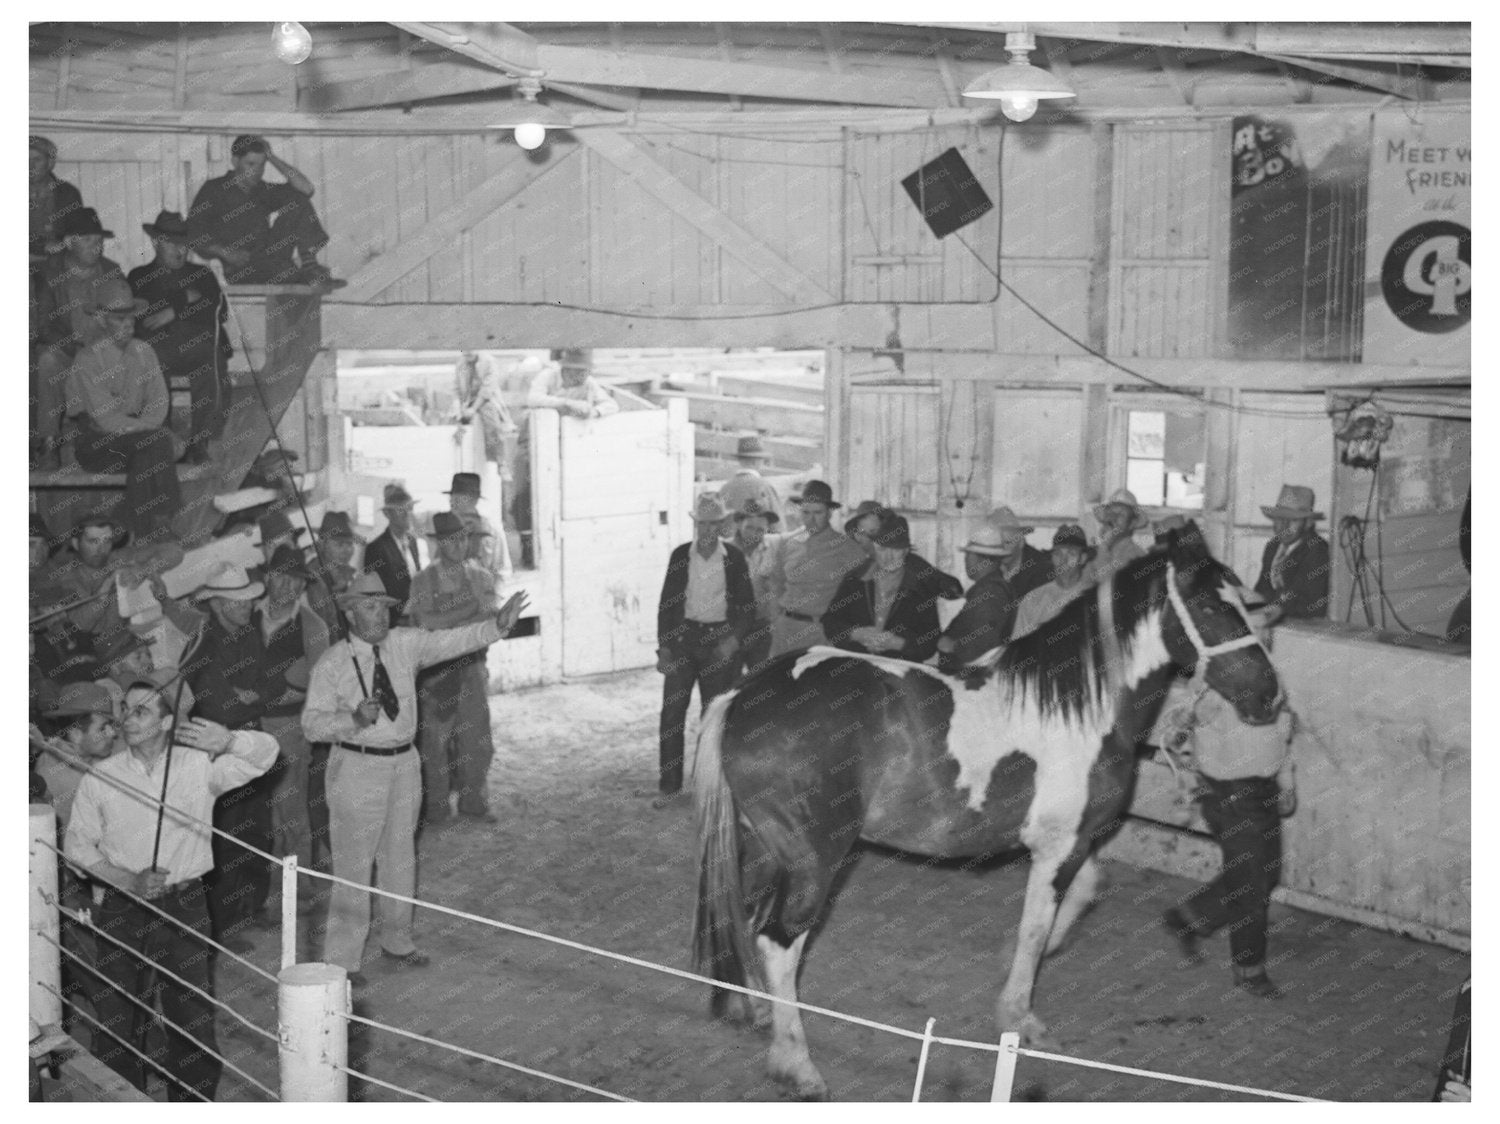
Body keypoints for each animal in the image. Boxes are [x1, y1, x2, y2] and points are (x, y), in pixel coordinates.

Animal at [687, 525, 1278, 1098]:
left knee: (746, 919)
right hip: (814, 858)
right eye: (1211, 607)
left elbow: (1081, 895)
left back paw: (756, 1009)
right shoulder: (1059, 847)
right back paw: (797, 1064)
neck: (1076, 707)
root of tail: (745, 694)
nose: (1268, 695)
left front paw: (1010, 973)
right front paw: (1020, 1014)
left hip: (764, 848)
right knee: (779, 942)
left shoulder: (1072, 840)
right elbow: (1036, 929)